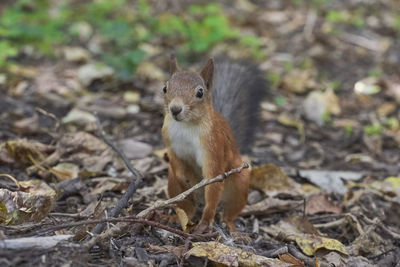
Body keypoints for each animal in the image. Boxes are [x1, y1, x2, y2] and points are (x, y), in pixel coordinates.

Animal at [161, 54, 264, 232]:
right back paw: (178, 216)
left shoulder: (213, 147)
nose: (175, 109)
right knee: (187, 208)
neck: (186, 126)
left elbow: (213, 178)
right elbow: (177, 167)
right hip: (172, 185)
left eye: (200, 92)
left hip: (239, 184)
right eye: (165, 88)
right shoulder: (171, 145)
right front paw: (185, 187)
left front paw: (205, 222)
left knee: (227, 210)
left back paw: (231, 227)